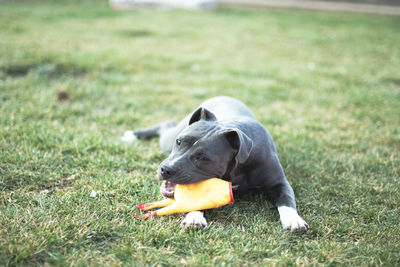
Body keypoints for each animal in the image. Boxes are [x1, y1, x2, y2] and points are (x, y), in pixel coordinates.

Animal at [122, 97, 310, 232]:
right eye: (179, 141)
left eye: (203, 157)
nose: (166, 169)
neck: (237, 167)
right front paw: (194, 217)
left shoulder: (279, 183)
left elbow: (286, 200)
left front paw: (294, 219)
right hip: (167, 140)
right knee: (166, 124)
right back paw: (132, 135)